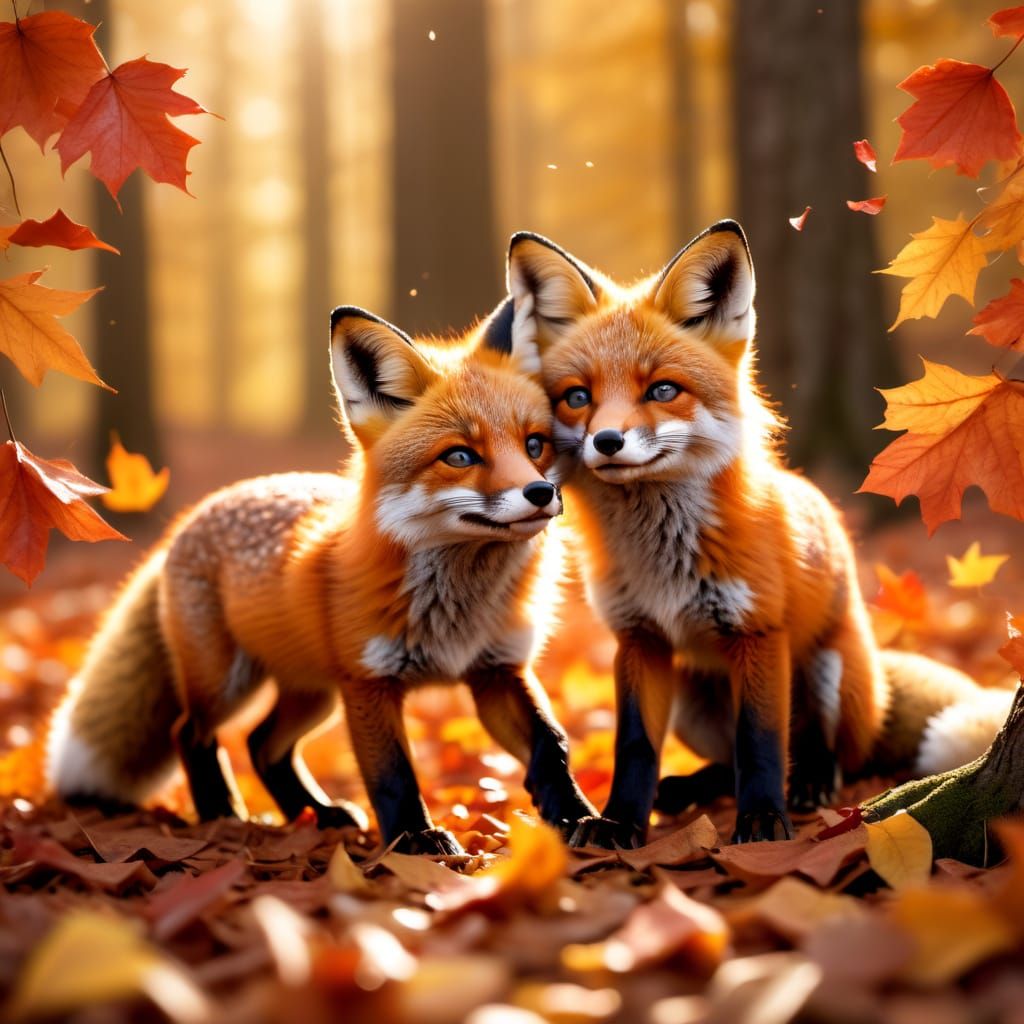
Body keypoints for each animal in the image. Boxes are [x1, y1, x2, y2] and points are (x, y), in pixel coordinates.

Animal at [46, 299, 596, 856]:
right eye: (460, 455)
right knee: (191, 733)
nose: (540, 493)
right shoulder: (368, 682)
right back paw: (222, 813)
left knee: (262, 745)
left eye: (535, 445)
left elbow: (551, 744)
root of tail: (191, 517)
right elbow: (393, 773)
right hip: (227, 683)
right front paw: (415, 839)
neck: (457, 612)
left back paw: (316, 814)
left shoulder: (497, 669)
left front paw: (580, 819)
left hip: (311, 692)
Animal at [504, 220, 1014, 847]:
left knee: (827, 752)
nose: (607, 441)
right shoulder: (639, 639)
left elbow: (762, 743)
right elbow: (636, 746)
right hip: (694, 700)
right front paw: (620, 820)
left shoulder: (759, 631)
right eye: (578, 398)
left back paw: (810, 784)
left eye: (663, 390)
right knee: (724, 762)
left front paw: (764, 820)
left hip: (825, 668)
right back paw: (688, 788)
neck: (665, 561)